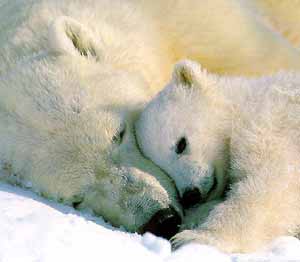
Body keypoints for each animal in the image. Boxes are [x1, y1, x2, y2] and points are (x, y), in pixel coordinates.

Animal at [137, 60, 300, 253]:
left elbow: (272, 184)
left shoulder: (271, 127)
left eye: (181, 144)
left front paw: (193, 238)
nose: (190, 195)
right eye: (165, 170)